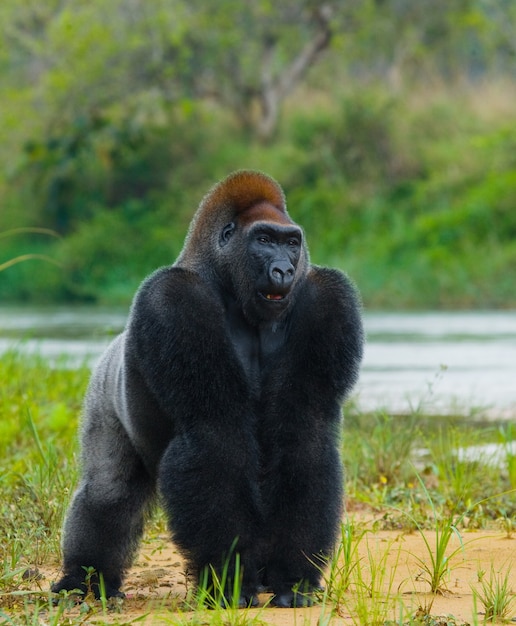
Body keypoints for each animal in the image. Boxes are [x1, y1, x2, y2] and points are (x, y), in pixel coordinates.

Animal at [51, 169, 362, 604]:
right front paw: (229, 578)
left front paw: (294, 577)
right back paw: (85, 579)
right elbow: (215, 437)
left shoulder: (328, 296)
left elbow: (304, 434)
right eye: (264, 240)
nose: (284, 270)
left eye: (291, 242)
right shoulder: (173, 298)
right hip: (102, 392)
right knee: (109, 490)